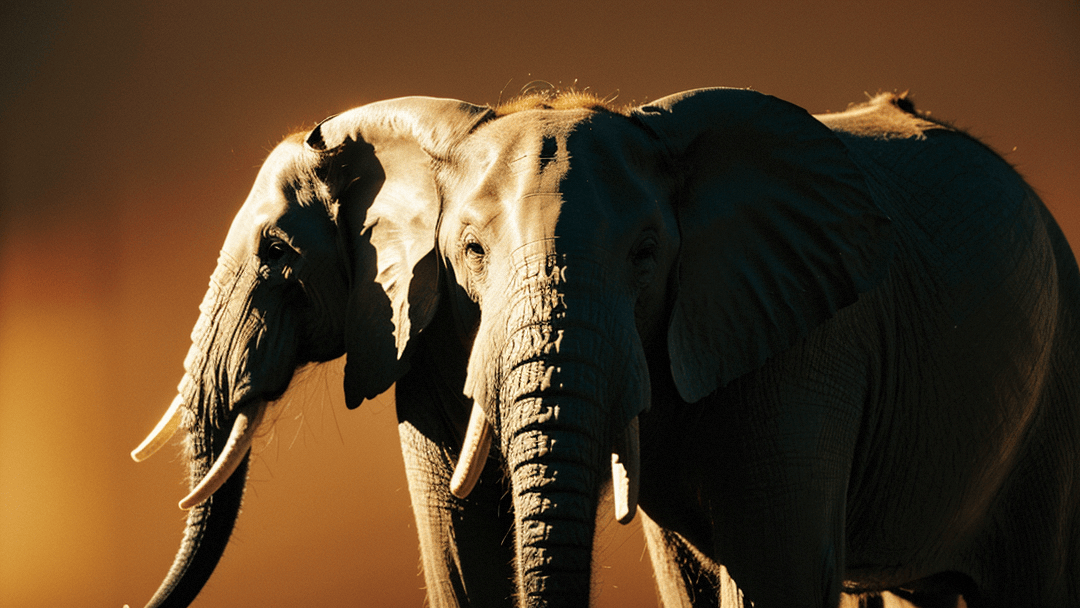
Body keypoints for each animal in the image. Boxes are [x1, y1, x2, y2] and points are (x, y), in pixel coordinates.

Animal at [131, 87, 1080, 608]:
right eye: (470, 251)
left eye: (648, 254)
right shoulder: (435, 336)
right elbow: (464, 555)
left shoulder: (800, 344)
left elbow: (772, 575)